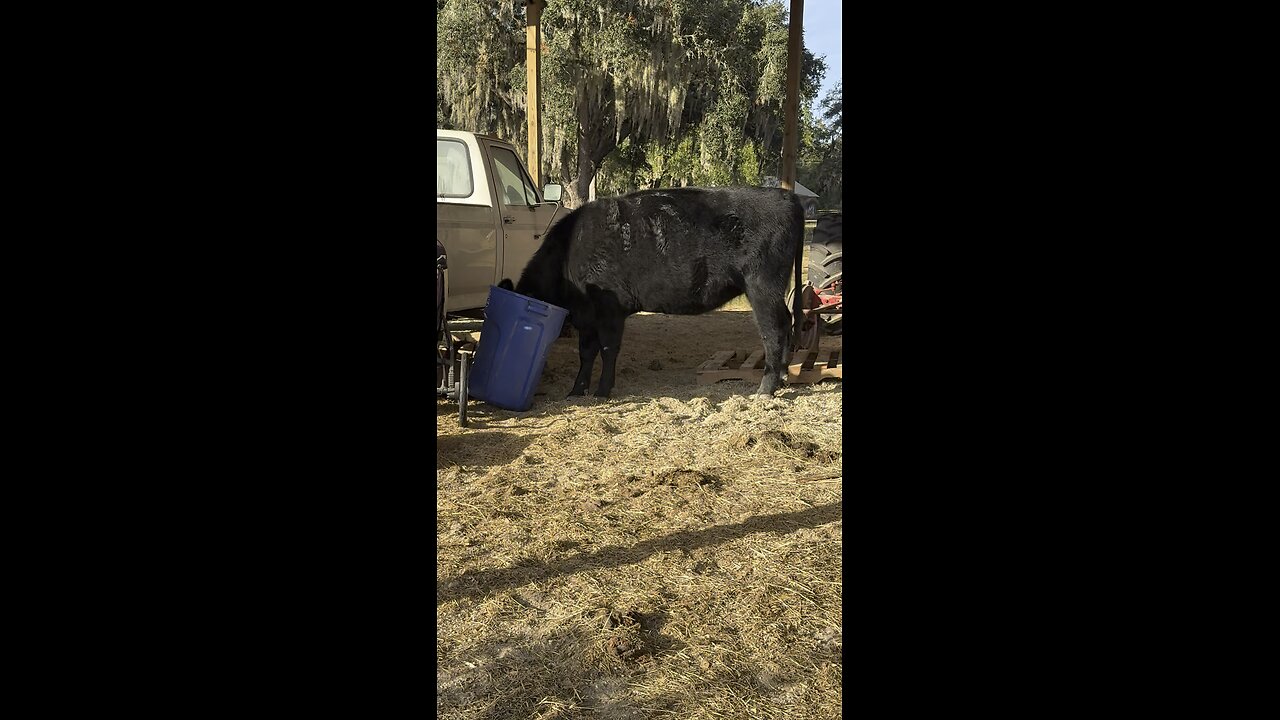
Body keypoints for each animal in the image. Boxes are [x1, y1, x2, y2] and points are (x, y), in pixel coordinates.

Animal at [498, 186, 805, 399]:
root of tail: (787, 197)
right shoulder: (586, 317)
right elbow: (586, 352)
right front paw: (576, 391)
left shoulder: (610, 310)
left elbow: (608, 349)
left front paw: (602, 391)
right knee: (787, 321)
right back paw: (784, 375)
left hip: (762, 286)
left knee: (773, 330)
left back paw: (765, 389)